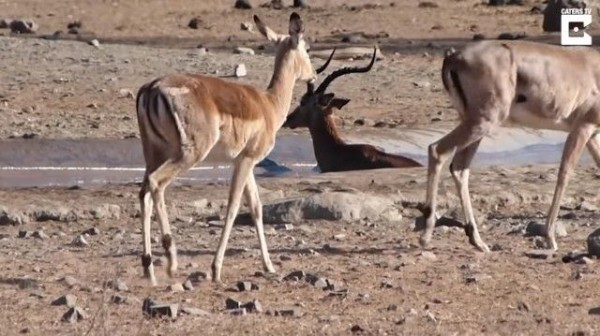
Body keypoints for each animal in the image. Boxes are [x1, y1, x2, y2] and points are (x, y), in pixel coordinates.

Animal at [134, 13, 336, 286]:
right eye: (306, 47)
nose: (313, 74)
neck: (269, 104)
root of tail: (152, 88)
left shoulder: (243, 161)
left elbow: (257, 208)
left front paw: (269, 266)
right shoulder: (247, 160)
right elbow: (232, 207)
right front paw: (216, 269)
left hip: (153, 154)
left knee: (143, 191)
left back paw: (149, 268)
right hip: (187, 155)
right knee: (156, 184)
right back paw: (172, 261)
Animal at [420, 39, 600, 253]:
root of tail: (453, 56)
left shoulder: (593, 134)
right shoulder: (583, 127)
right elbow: (564, 175)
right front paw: (550, 238)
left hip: (474, 125)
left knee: (459, 169)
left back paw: (477, 240)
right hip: (483, 122)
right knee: (437, 150)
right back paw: (427, 234)